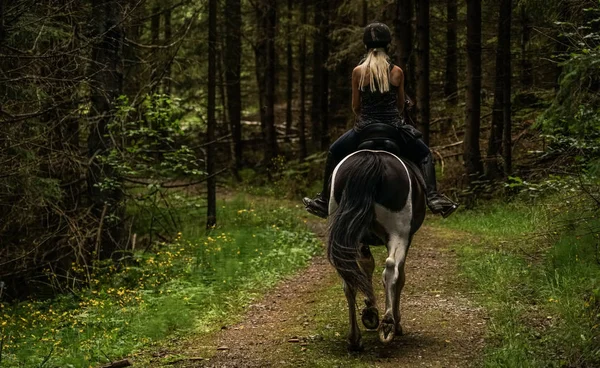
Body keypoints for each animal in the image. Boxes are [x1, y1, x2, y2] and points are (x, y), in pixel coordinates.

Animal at [328, 146, 426, 350]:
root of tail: (373, 158)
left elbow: (365, 267)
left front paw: (370, 310)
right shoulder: (408, 237)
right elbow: (400, 277)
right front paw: (395, 321)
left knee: (348, 279)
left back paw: (355, 338)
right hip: (399, 232)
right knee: (391, 269)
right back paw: (388, 324)